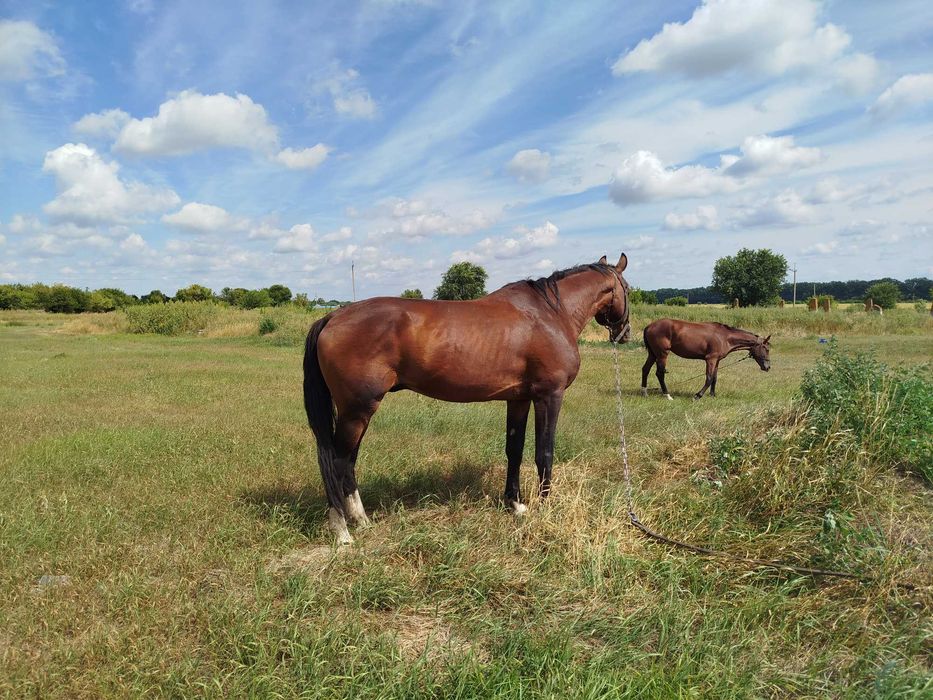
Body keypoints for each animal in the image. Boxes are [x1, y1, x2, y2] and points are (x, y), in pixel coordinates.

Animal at [303, 254, 630, 544]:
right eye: (627, 288)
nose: (624, 333)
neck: (551, 314)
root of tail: (332, 316)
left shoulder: (519, 399)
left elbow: (514, 450)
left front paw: (515, 504)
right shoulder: (549, 396)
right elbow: (544, 453)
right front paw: (545, 506)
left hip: (356, 412)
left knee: (348, 461)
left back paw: (361, 520)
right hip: (357, 411)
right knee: (337, 462)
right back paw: (343, 531)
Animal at [641, 319, 771, 401]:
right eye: (766, 349)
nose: (768, 367)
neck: (725, 337)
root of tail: (649, 326)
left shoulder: (717, 360)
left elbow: (714, 378)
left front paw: (712, 395)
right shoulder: (710, 359)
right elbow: (708, 378)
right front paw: (698, 396)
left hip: (653, 354)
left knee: (645, 369)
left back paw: (644, 392)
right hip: (662, 354)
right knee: (660, 373)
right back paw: (667, 395)